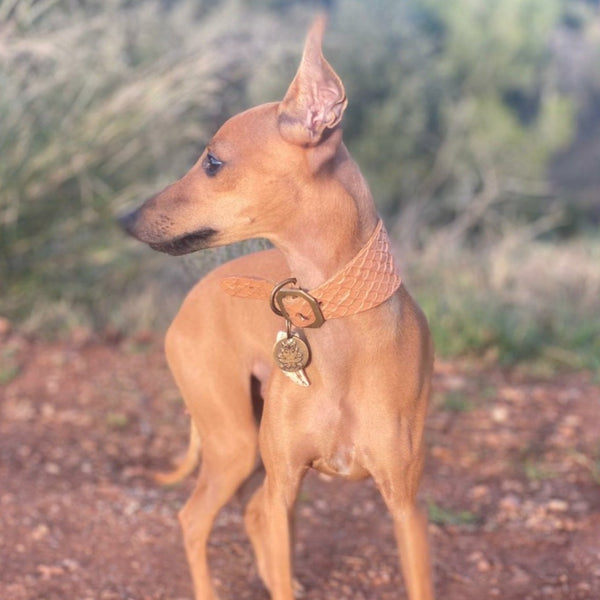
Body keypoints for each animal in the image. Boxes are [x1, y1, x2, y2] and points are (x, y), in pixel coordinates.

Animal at [119, 14, 434, 600]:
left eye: (213, 161)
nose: (125, 218)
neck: (337, 321)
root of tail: (191, 301)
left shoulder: (406, 507)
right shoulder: (286, 487)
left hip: (246, 455)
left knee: (235, 516)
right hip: (236, 444)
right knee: (195, 519)